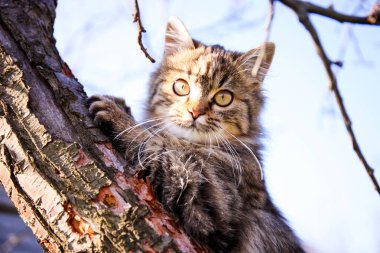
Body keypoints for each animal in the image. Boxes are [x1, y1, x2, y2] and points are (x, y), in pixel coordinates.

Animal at [87, 16, 304, 252]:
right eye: (181, 86)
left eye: (223, 98)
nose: (195, 112)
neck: (188, 143)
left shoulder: (211, 198)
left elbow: (157, 143)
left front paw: (119, 118)